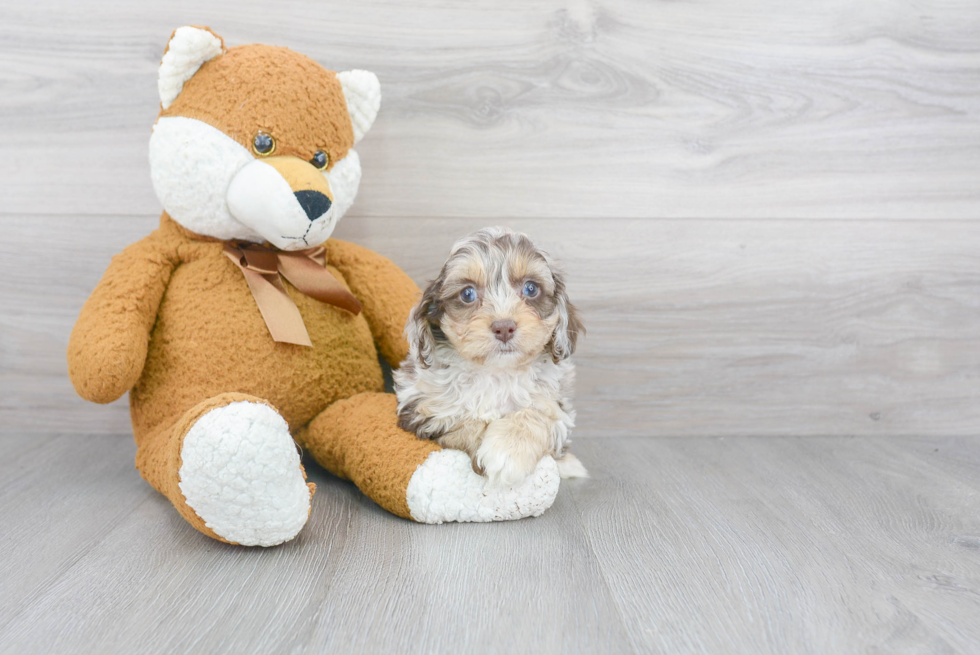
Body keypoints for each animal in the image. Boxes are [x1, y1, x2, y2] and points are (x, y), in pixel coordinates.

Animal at [392, 227, 588, 486]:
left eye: (531, 289)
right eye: (467, 294)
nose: (504, 327)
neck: (496, 372)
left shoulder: (556, 406)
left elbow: (539, 413)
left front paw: (508, 451)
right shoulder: (421, 406)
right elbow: (461, 418)